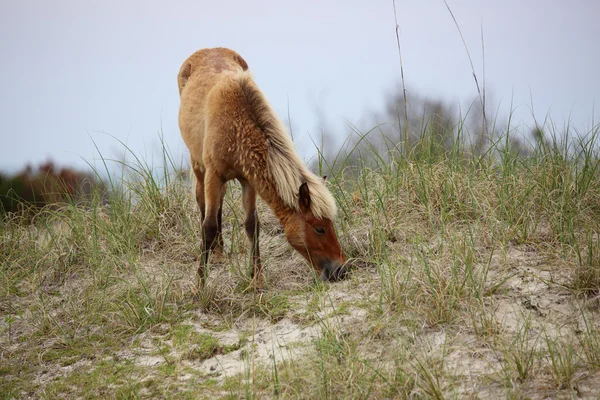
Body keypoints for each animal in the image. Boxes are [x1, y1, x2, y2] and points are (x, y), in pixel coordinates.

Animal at [178, 47, 346, 288]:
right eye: (320, 228)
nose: (341, 269)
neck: (237, 124)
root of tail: (207, 50)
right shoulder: (214, 175)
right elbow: (208, 227)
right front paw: (199, 286)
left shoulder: (249, 179)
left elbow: (251, 225)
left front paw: (257, 279)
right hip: (199, 168)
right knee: (203, 203)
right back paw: (216, 255)